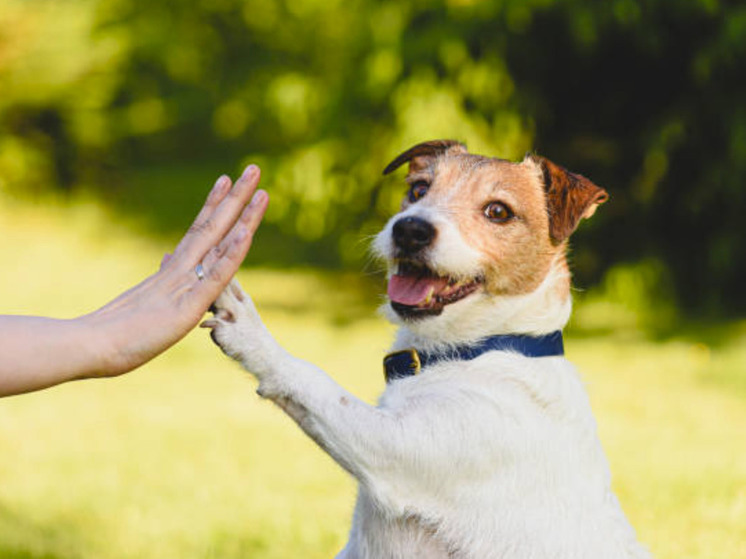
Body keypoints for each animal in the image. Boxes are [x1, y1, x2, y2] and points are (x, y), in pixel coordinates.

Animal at [202, 141, 644, 559]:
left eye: (498, 211)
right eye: (418, 189)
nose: (410, 230)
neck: (475, 352)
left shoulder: (393, 449)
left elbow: (312, 380)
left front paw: (247, 328)